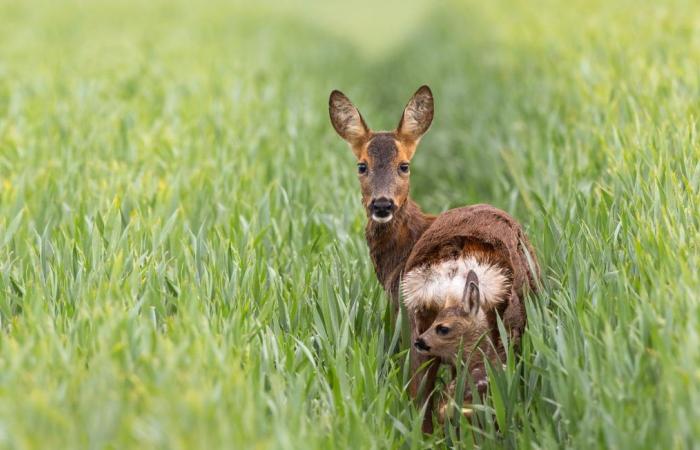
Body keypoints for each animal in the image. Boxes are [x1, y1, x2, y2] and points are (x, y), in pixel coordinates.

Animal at [328, 84, 540, 432]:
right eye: (362, 166)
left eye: (404, 165)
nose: (382, 204)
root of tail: (464, 261)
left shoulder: (398, 307)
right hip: (513, 319)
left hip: (419, 323)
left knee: (421, 400)